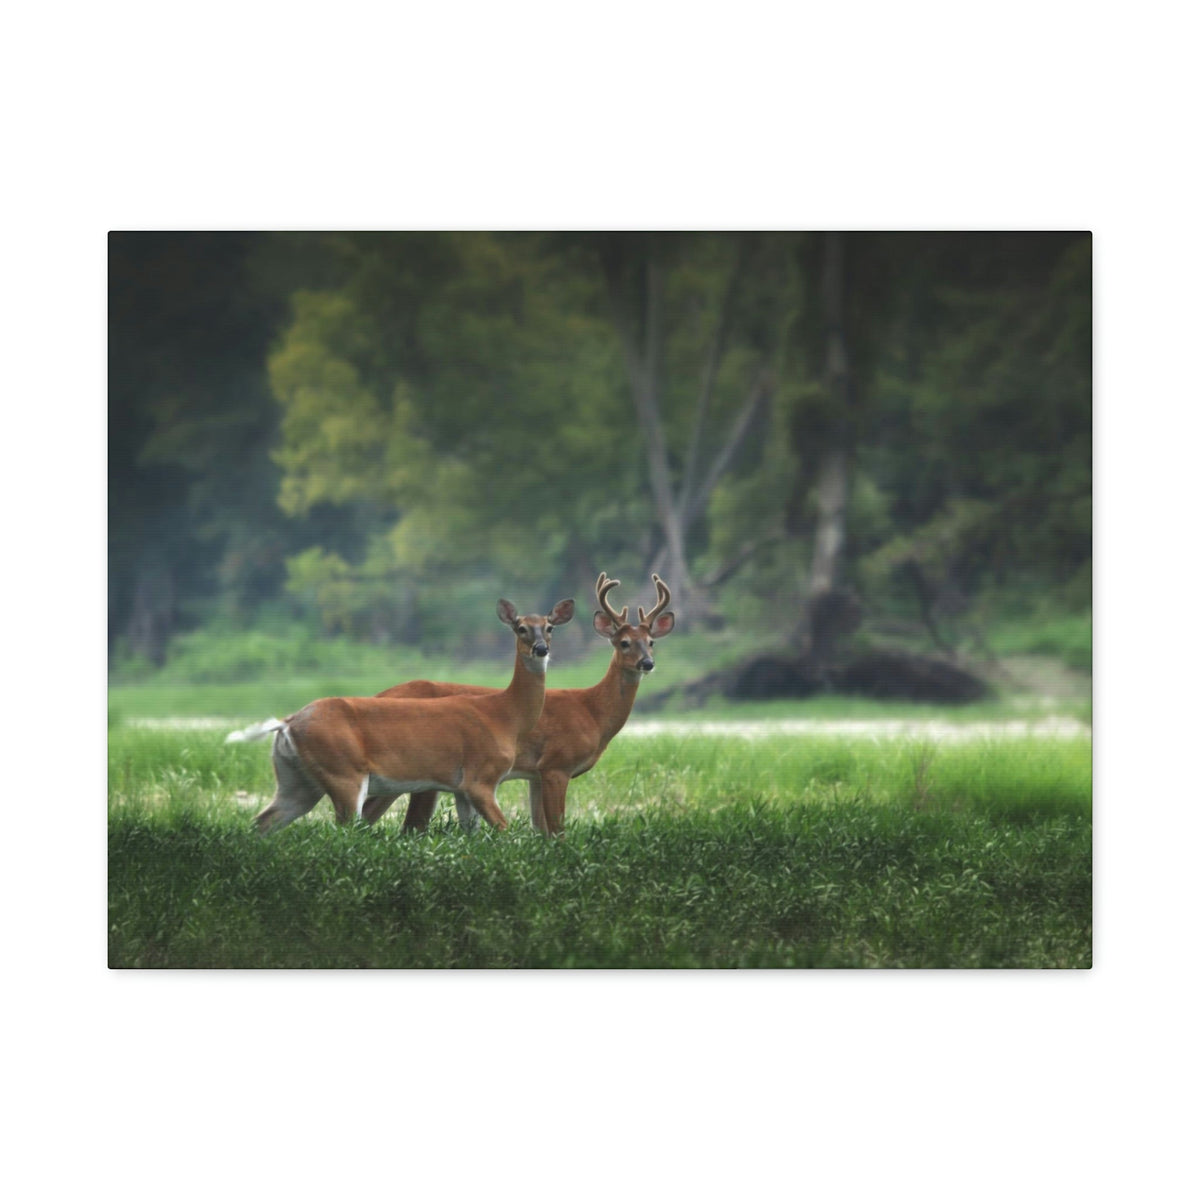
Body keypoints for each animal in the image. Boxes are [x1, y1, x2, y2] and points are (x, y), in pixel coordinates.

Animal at [248, 597, 575, 834]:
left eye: (549, 627)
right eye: (520, 627)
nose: (541, 649)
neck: (504, 715)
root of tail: (287, 723)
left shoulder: (461, 788)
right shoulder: (480, 777)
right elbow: (505, 832)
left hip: (296, 780)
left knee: (263, 822)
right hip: (343, 772)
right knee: (343, 830)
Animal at [357, 573, 675, 836]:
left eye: (651, 642)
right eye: (623, 642)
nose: (647, 663)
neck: (592, 712)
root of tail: (378, 695)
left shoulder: (535, 775)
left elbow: (541, 829)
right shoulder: (556, 764)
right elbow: (557, 830)